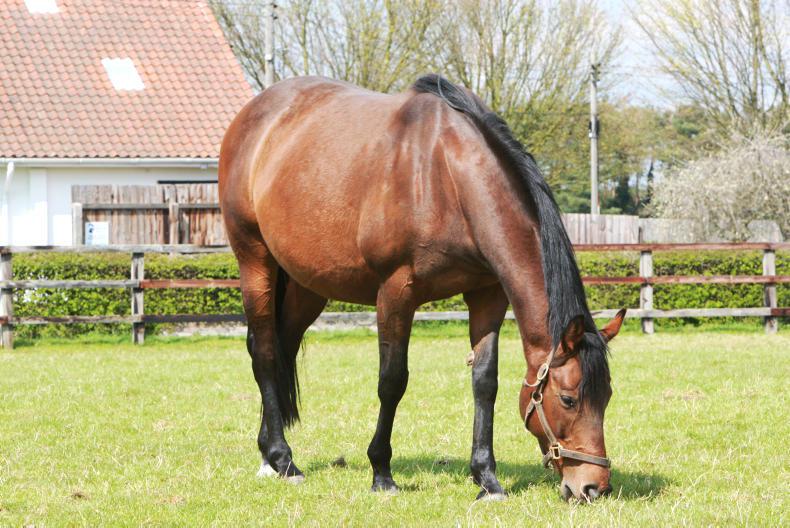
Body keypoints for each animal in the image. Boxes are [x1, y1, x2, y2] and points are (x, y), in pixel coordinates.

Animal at [218, 74, 626, 502]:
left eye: (607, 396)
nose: (593, 486)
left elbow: (485, 381)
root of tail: (254, 115)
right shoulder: (396, 292)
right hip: (255, 260)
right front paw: (381, 472)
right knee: (264, 352)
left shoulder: (488, 294)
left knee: (284, 345)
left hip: (307, 284)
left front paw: (486, 478)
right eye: (568, 399)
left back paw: (269, 455)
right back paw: (283, 458)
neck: (444, 177)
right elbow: (392, 381)